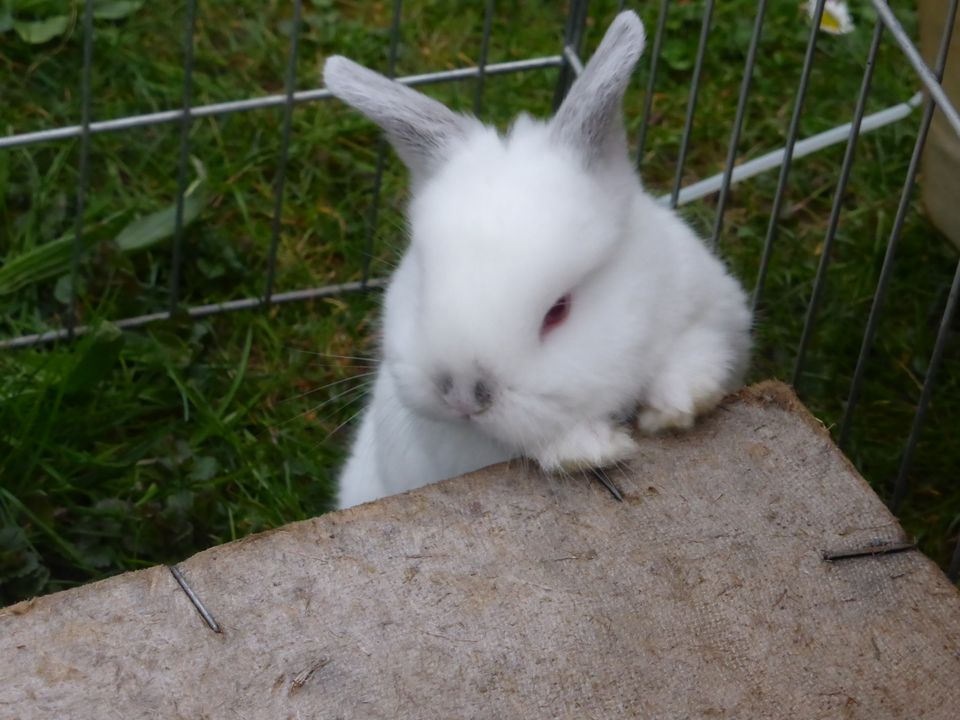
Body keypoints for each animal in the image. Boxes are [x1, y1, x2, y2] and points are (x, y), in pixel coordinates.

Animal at [326, 9, 752, 506]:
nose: (463, 395)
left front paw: (673, 408)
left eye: (558, 311)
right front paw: (594, 448)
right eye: (420, 282)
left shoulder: (713, 313)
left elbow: (701, 353)